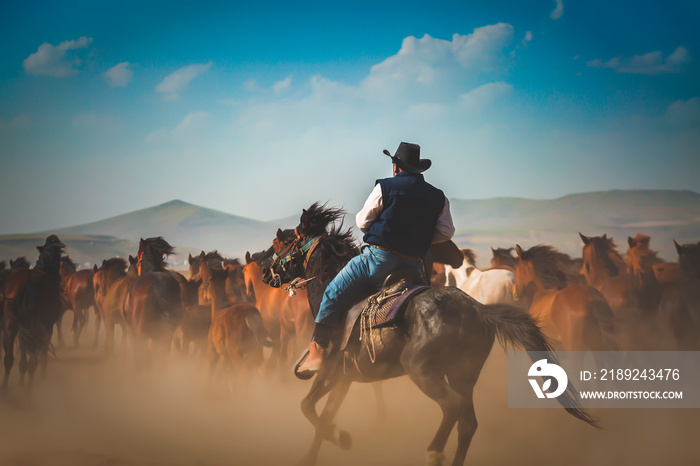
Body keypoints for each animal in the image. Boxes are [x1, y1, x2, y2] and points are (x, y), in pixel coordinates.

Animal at [2, 233, 65, 390]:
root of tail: (28, 283)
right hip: (37, 327)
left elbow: (23, 357)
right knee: (34, 361)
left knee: (9, 358)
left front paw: (20, 382)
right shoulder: (48, 328)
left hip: (11, 323)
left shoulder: (22, 329)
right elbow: (42, 357)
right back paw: (30, 390)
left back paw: (6, 387)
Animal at [262, 203, 596, 466]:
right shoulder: (344, 377)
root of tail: (479, 310)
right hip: (462, 374)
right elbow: (323, 415)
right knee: (467, 422)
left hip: (421, 370)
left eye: (281, 242)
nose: (265, 272)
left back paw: (434, 452)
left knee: (451, 407)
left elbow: (308, 407)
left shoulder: (329, 371)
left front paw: (341, 438)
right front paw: (315, 453)